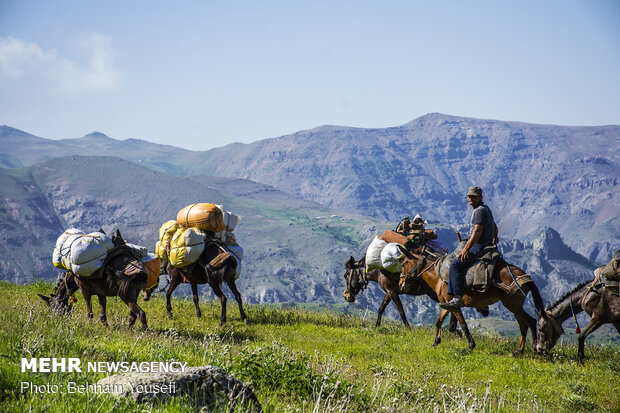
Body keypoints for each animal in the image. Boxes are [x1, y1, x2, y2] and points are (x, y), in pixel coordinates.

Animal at [402, 248, 544, 354]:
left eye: (403, 263)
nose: (401, 283)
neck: (440, 277)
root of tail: (526, 277)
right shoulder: (446, 304)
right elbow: (438, 321)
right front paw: (436, 342)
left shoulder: (455, 306)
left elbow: (463, 324)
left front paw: (471, 345)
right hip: (515, 306)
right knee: (524, 325)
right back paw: (519, 351)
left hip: (513, 305)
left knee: (530, 321)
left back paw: (533, 348)